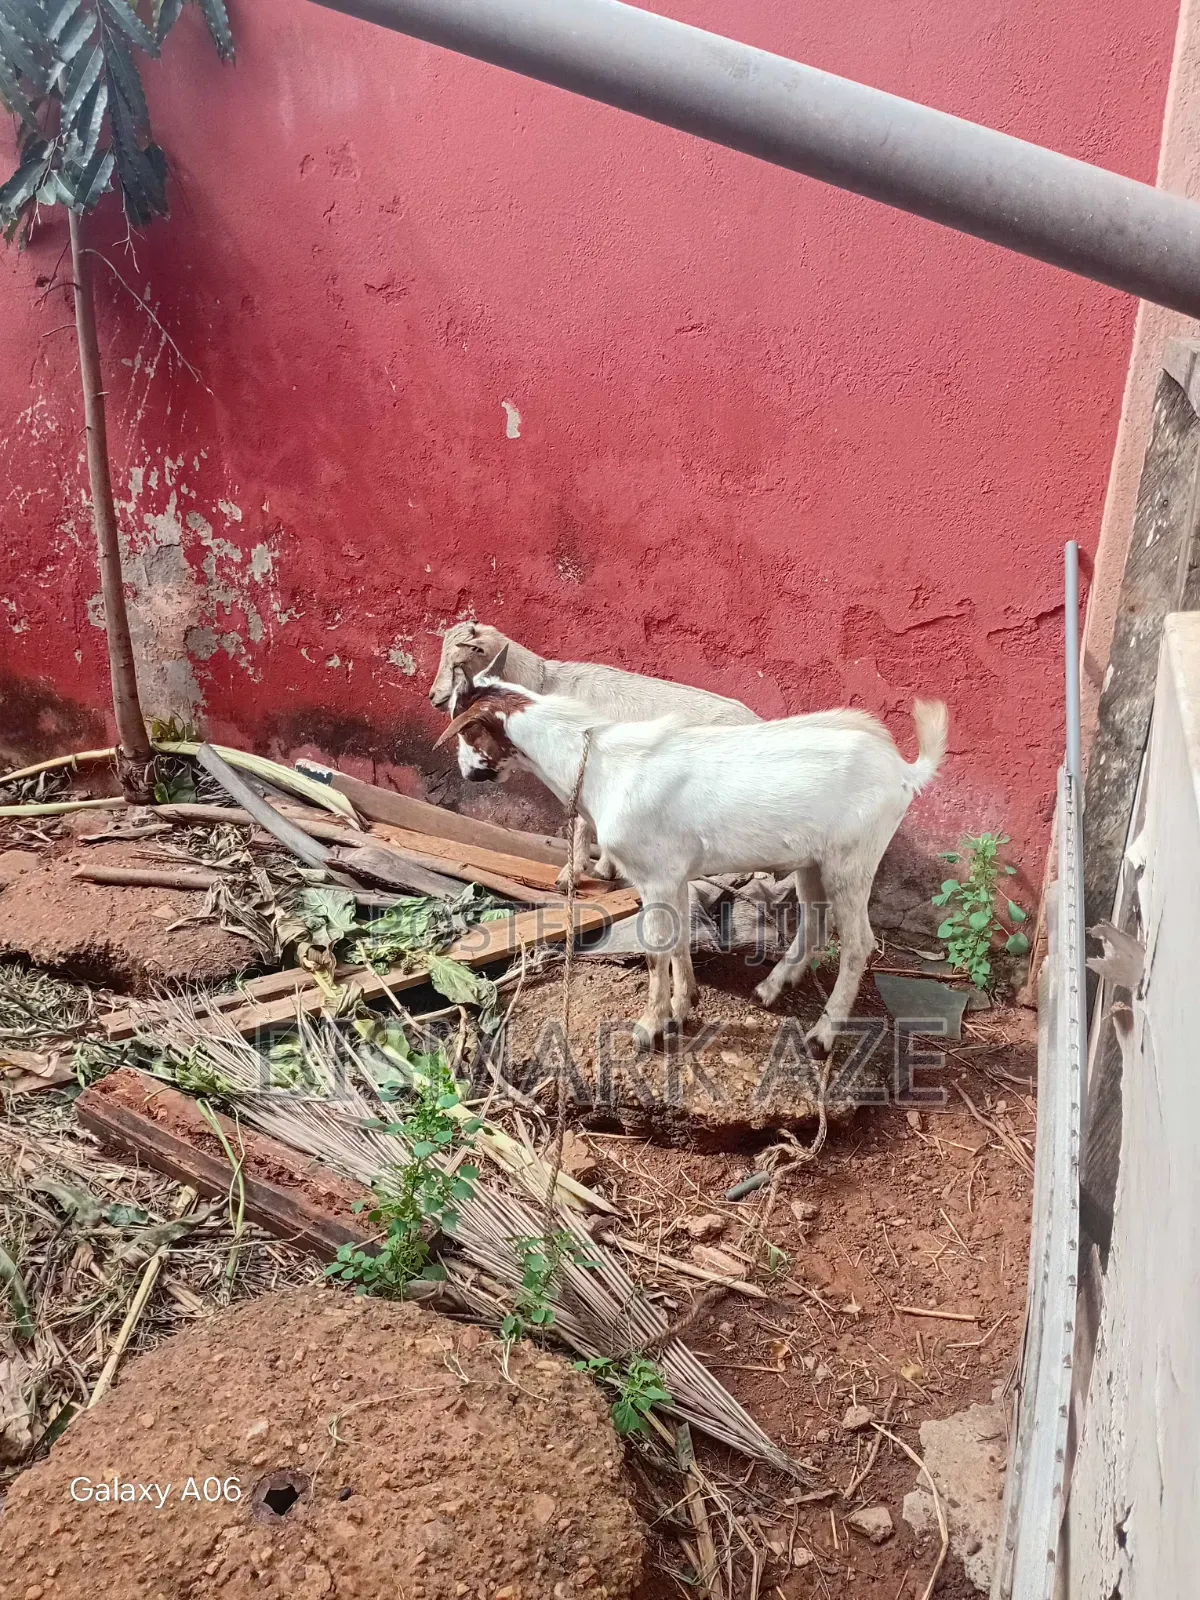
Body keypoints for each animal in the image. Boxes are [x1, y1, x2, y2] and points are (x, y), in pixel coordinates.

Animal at [429, 620, 758, 889]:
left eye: (459, 663)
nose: (434, 697)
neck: (544, 685)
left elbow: (582, 822)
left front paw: (572, 874)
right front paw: (604, 869)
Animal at [435, 658, 948, 1053]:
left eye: (465, 731)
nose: (465, 771)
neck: (600, 765)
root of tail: (904, 771)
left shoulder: (654, 874)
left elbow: (655, 950)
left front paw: (649, 1028)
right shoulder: (674, 874)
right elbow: (680, 938)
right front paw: (683, 1008)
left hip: (854, 858)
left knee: (859, 942)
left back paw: (823, 1035)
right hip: (813, 861)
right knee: (816, 921)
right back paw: (773, 986)